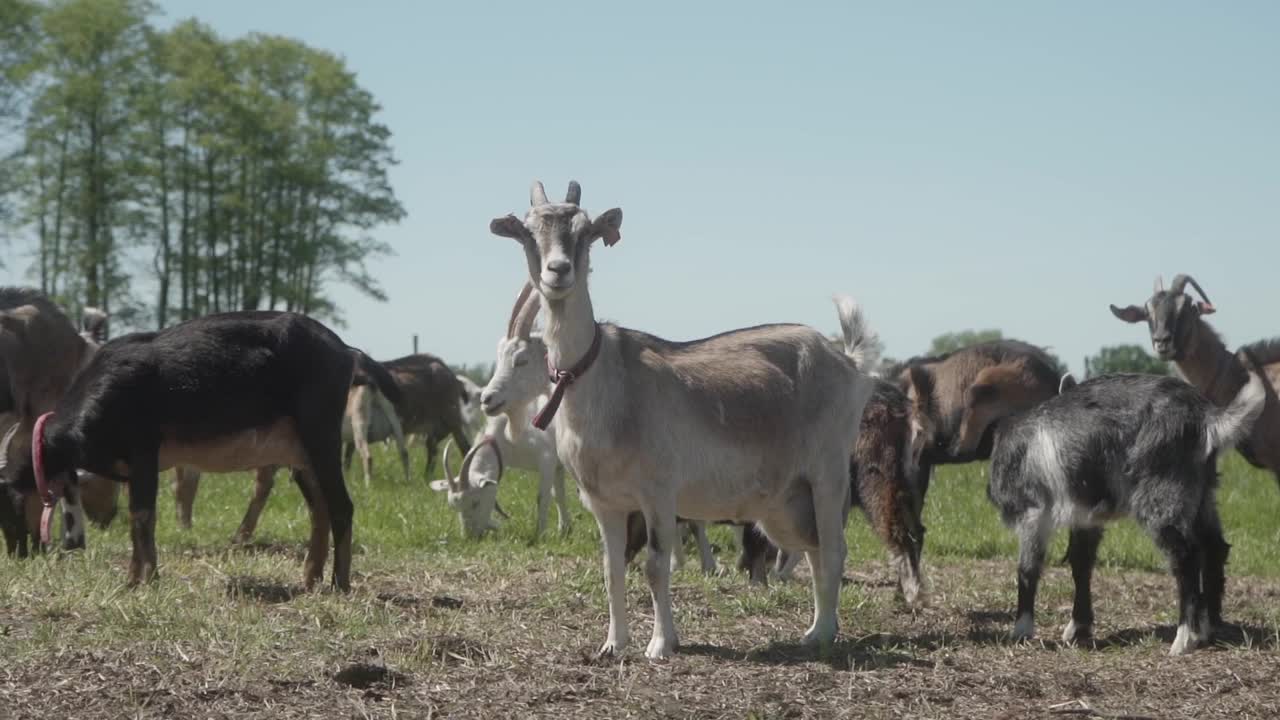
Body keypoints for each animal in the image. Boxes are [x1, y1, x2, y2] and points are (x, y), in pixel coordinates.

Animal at [2, 310, 399, 589]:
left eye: (8, 500)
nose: (19, 552)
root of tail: (346, 351)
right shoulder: (134, 468)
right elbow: (137, 518)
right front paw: (141, 577)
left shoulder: (144, 451)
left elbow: (142, 516)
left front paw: (141, 580)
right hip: (299, 452)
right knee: (319, 508)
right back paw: (309, 578)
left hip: (321, 436)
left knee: (341, 506)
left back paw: (339, 583)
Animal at [483, 178, 875, 655]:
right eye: (527, 232)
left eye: (586, 231)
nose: (558, 272)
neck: (607, 380)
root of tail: (848, 361)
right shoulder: (605, 502)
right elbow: (612, 570)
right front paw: (613, 645)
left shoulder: (659, 493)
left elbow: (655, 566)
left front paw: (660, 644)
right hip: (785, 504)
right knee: (814, 548)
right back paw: (816, 628)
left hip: (827, 473)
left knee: (834, 549)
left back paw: (824, 635)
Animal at [983, 366, 1264, 653]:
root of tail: (1206, 418)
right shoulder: (1086, 516)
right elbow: (1081, 564)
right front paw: (1078, 628)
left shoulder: (1032, 511)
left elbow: (1028, 568)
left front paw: (1021, 630)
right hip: (1202, 495)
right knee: (1215, 548)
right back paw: (1208, 629)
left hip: (1162, 492)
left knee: (1185, 556)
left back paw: (1184, 638)